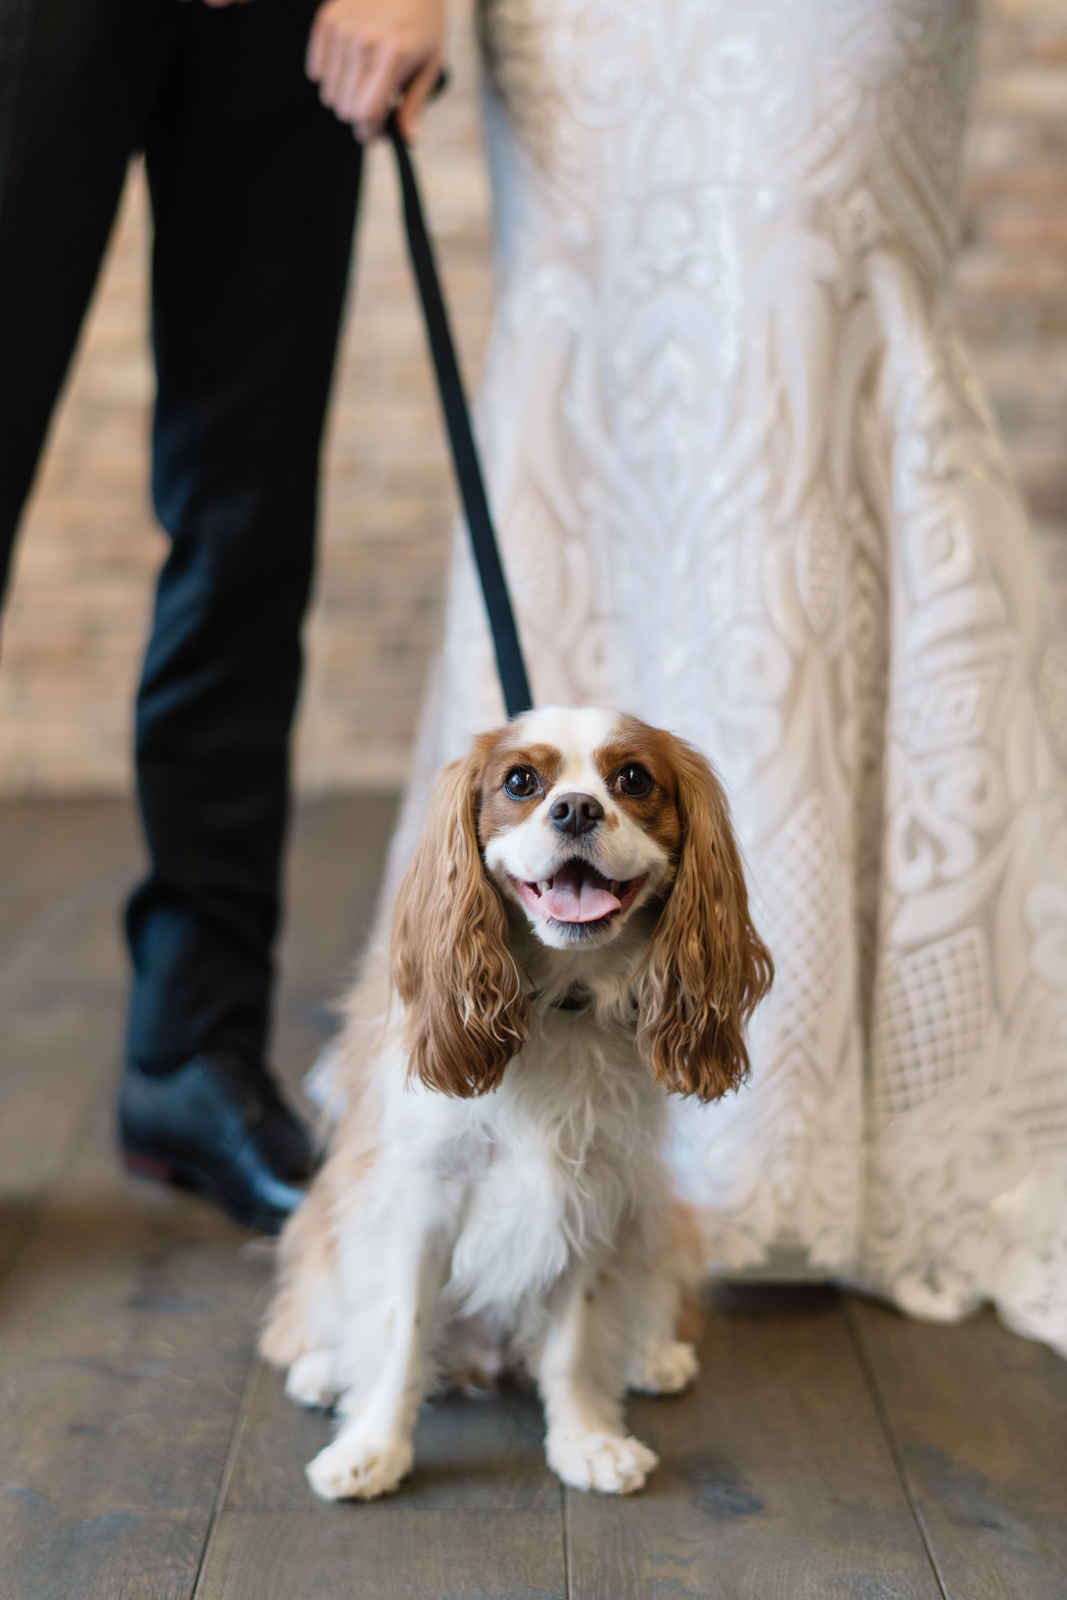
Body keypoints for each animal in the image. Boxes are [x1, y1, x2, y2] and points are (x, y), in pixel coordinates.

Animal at [262, 710, 771, 1497]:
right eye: (521, 782)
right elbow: (399, 1336)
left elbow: (574, 1344)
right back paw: (321, 1368)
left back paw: (651, 1354)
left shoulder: (596, 1196)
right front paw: (372, 1449)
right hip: (327, 1221)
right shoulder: (419, 1199)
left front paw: (586, 1440)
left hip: (660, 1216)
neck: (561, 1001)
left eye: (632, 779)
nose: (576, 809)